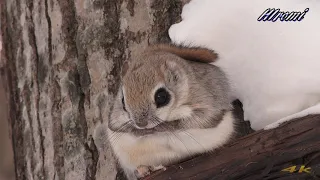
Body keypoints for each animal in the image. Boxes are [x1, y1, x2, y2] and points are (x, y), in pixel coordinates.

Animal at [108, 44, 238, 180]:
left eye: (161, 96)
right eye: (123, 100)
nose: (141, 124)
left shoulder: (205, 101)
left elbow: (199, 120)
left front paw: (162, 127)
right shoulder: (114, 119)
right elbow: (117, 127)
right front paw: (136, 131)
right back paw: (143, 170)